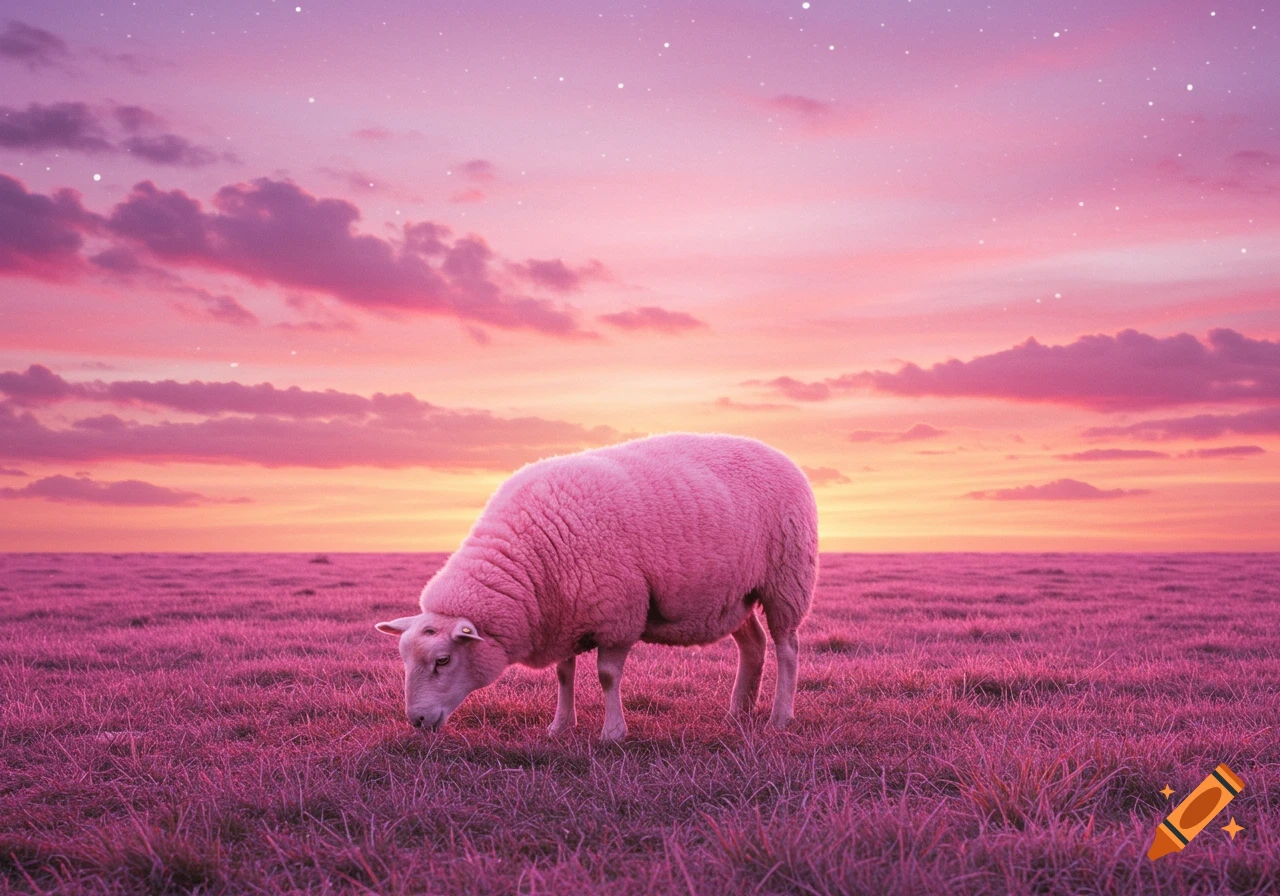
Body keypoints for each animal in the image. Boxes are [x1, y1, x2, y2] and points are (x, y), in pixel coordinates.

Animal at [375, 432, 819, 741]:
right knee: (753, 644)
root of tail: (778, 452)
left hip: (786, 578)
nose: (416, 720)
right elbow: (563, 674)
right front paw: (560, 726)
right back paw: (737, 713)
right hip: (735, 593)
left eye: (443, 660)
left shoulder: (617, 613)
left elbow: (606, 676)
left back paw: (779, 718)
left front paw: (612, 733)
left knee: (787, 648)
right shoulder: (562, 614)